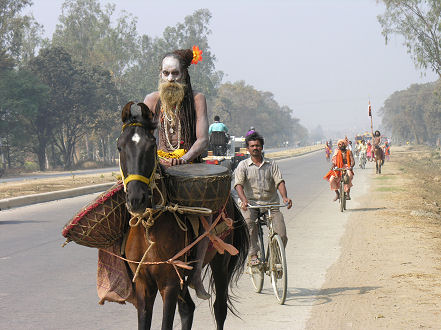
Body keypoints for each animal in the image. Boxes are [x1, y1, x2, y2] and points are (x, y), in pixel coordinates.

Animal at [116, 102, 248, 328]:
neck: (149, 229)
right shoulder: (143, 284)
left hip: (220, 261)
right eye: (119, 147)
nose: (136, 199)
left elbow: (166, 324)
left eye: (151, 146)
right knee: (188, 308)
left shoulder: (169, 284)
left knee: (219, 308)